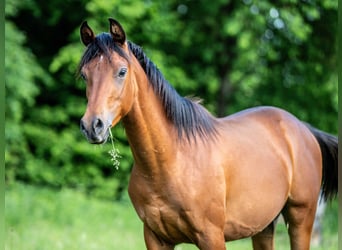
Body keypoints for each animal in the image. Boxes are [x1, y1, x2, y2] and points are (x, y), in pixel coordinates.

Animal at [77, 18, 336, 249]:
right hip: (263, 227)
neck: (170, 160)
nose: (92, 125)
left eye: (122, 71)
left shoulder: (211, 237)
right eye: (84, 75)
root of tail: (303, 128)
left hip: (301, 219)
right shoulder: (155, 238)